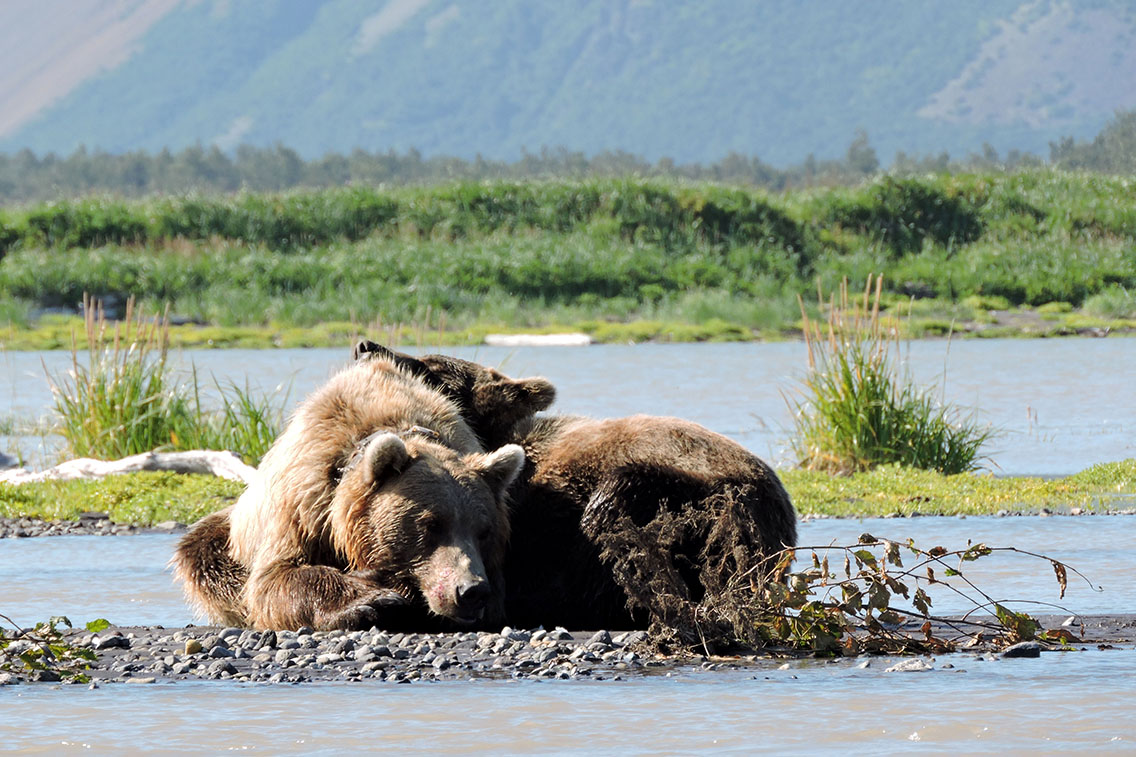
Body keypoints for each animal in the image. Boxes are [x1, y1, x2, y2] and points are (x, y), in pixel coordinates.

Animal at [170, 356, 524, 627]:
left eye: (484, 530)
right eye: (431, 524)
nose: (470, 590)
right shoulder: (304, 504)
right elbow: (275, 579)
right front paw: (373, 600)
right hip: (232, 535)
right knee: (202, 554)